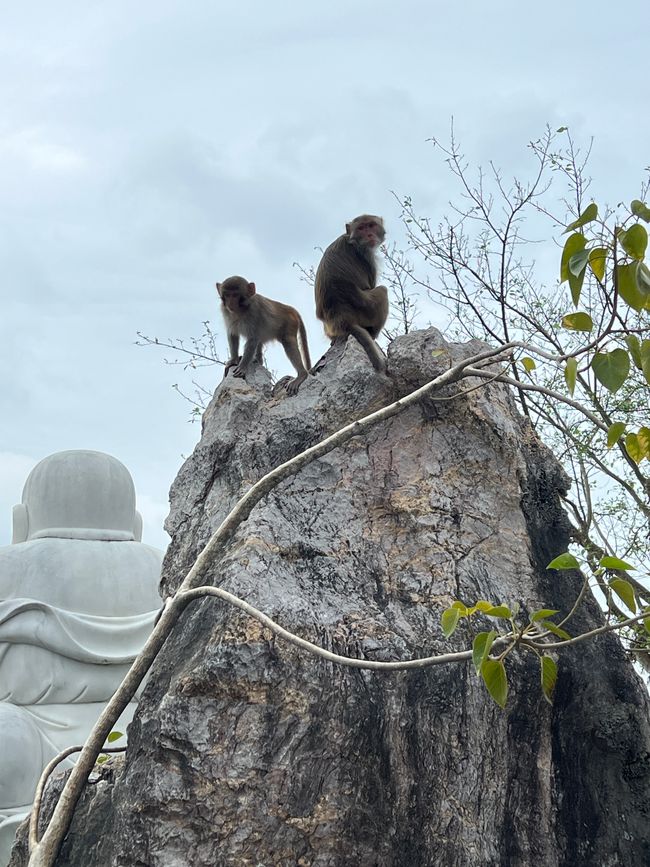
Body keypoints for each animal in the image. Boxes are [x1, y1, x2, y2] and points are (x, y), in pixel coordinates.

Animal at [314, 214, 389, 373]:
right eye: (361, 228)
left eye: (371, 225)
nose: (369, 235)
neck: (352, 240)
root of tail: (343, 319)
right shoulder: (368, 257)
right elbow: (372, 286)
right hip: (367, 310)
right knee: (382, 291)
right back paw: (373, 335)